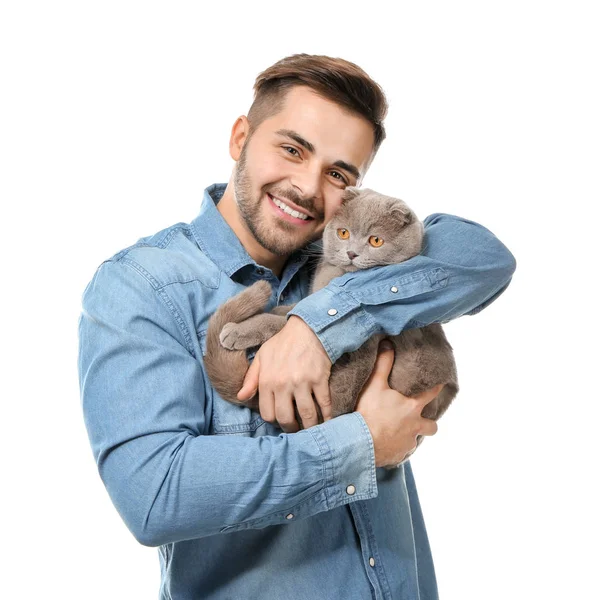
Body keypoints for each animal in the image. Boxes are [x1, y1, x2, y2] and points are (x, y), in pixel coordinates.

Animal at [204, 185, 458, 466]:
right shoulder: (312, 299)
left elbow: (283, 321)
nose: (351, 253)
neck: (335, 278)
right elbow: (288, 310)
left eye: (376, 241)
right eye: (343, 233)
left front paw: (236, 331)